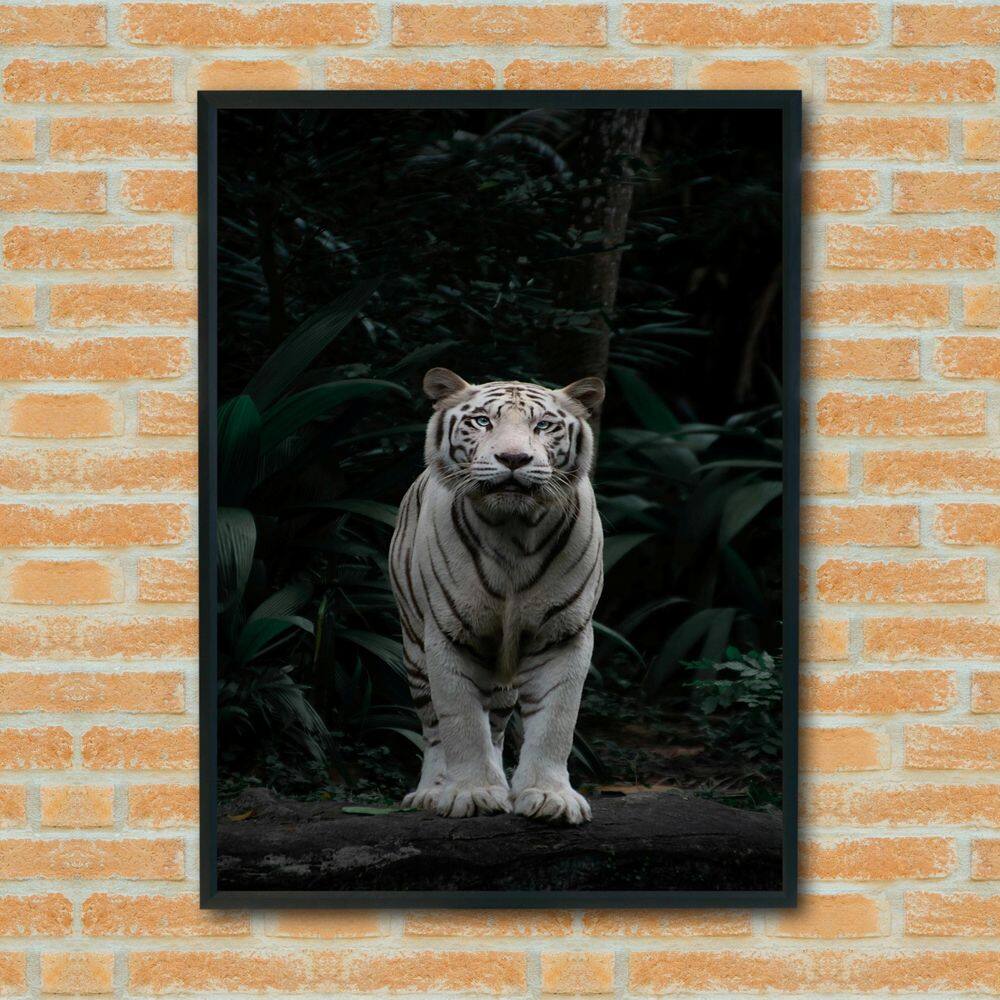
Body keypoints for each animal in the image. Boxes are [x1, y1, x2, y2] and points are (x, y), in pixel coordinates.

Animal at [388, 367, 605, 825]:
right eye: (482, 421)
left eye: (543, 426)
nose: (513, 459)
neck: (514, 531)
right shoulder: (448, 634)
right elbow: (461, 722)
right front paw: (472, 792)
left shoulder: (564, 634)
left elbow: (556, 721)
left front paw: (549, 796)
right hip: (414, 648)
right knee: (433, 728)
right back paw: (432, 791)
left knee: (498, 724)